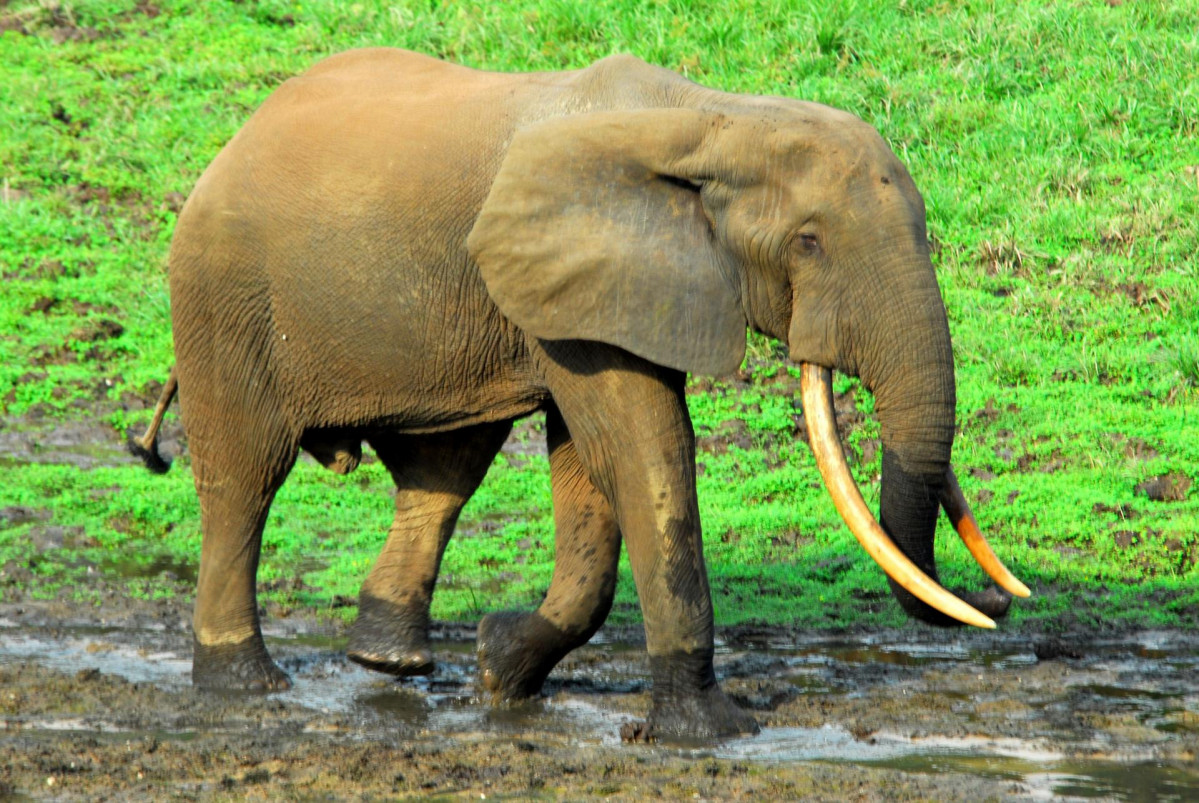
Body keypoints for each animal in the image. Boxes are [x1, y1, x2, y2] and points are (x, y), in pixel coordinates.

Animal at [133, 48, 1031, 743]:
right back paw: (247, 686)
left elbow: (591, 469)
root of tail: (233, 138)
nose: (998, 597)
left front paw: (498, 667)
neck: (712, 116)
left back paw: (389, 662)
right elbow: (643, 448)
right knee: (245, 479)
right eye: (807, 242)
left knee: (442, 472)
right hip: (224, 292)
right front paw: (709, 733)